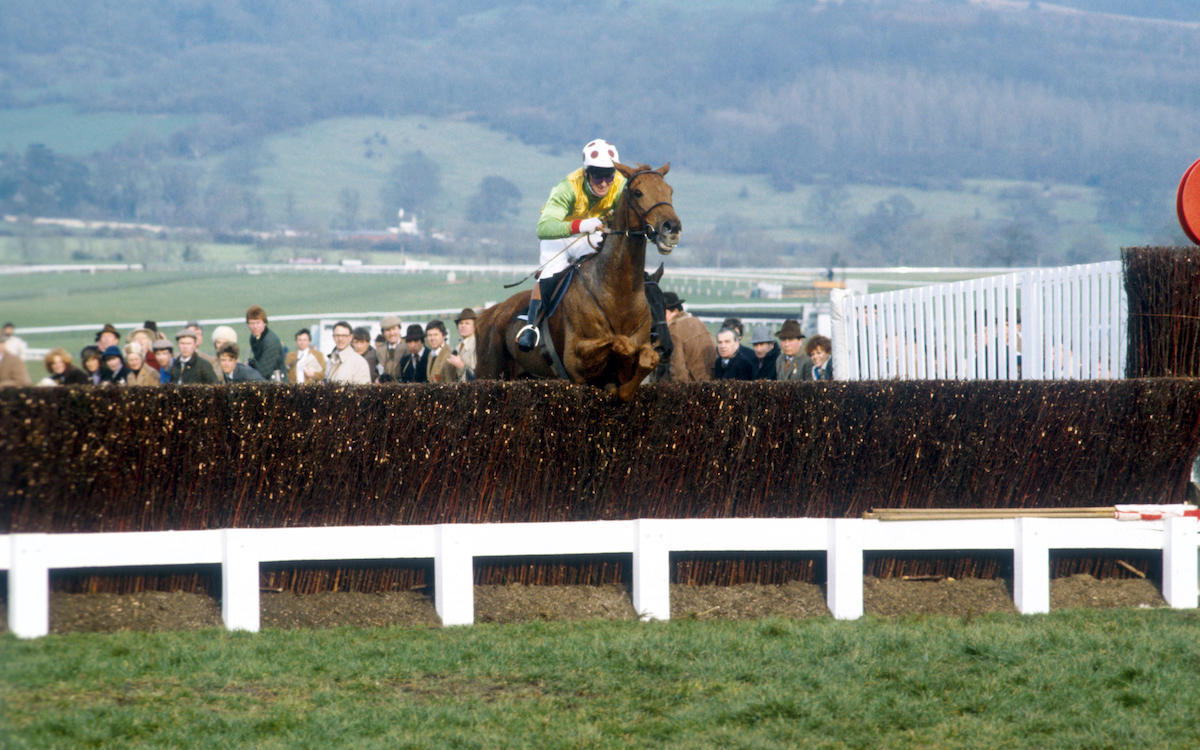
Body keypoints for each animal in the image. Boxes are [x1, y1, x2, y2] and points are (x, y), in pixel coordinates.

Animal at [477, 162, 686, 400]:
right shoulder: (576, 361)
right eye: (638, 192)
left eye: (669, 191)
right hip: (490, 370)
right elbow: (619, 342)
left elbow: (645, 360)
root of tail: (493, 312)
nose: (672, 228)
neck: (617, 295)